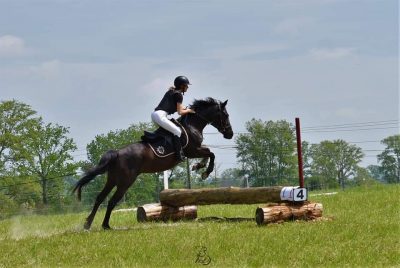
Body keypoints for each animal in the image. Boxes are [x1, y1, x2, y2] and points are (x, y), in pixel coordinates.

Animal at [73, 97, 233, 229]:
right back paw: (106, 225)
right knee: (112, 201)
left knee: (100, 198)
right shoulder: (192, 151)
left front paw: (199, 166)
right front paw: (205, 171)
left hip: (112, 179)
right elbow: (211, 153)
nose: (230, 134)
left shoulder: (196, 150)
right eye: (226, 115)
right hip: (125, 181)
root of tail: (117, 153)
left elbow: (209, 152)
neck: (192, 126)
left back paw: (88, 224)